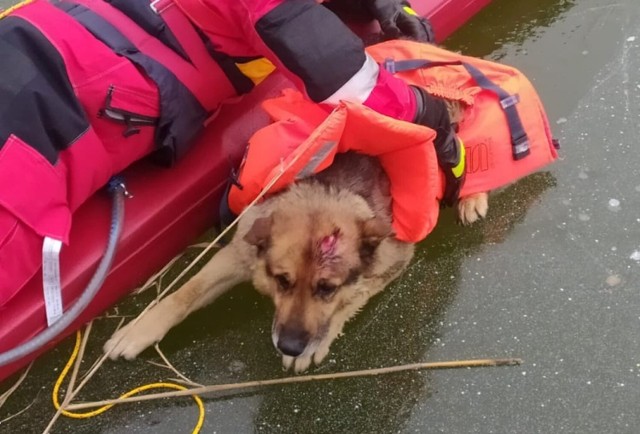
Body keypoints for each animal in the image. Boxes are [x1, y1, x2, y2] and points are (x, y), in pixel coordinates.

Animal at [102, 98, 488, 372]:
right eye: (282, 281)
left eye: (327, 288)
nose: (289, 346)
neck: (325, 191)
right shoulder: (238, 253)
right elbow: (184, 293)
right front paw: (139, 329)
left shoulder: (391, 264)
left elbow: (351, 300)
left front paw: (316, 342)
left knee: (466, 151)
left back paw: (472, 197)